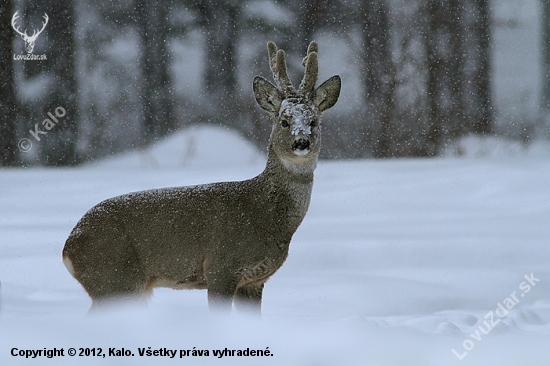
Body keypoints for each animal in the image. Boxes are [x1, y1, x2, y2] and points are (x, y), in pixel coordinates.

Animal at [63, 40, 340, 314]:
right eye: (284, 121)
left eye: (313, 121)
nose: (301, 142)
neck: (263, 213)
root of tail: (69, 247)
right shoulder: (220, 267)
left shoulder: (254, 280)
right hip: (114, 278)